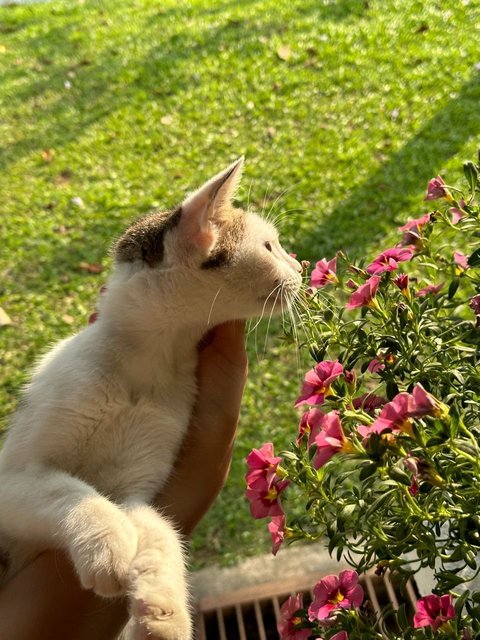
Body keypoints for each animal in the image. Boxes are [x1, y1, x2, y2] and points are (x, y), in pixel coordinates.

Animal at [0, 156, 302, 640]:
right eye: (270, 246)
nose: (301, 265)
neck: (150, 361)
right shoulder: (14, 476)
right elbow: (67, 490)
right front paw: (107, 544)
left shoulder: (135, 489)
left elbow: (158, 528)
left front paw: (163, 611)